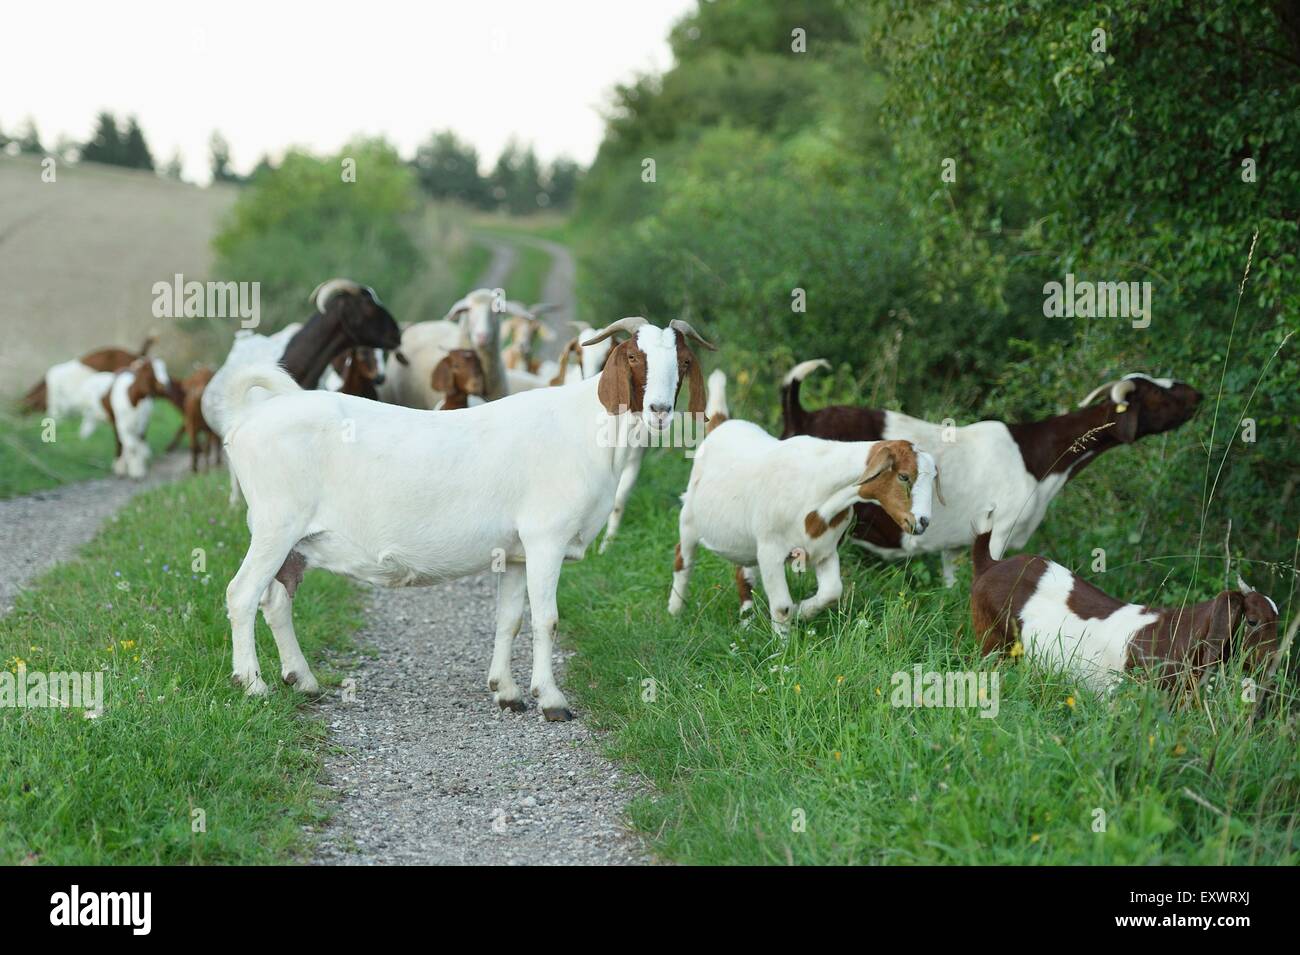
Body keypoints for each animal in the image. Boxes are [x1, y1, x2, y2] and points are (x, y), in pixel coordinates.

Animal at [219, 317, 717, 722]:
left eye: (682, 361)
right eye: (634, 356)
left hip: (294, 541)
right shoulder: (545, 540)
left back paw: (302, 680)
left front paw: (507, 692)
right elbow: (547, 620)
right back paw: (254, 686)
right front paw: (552, 700)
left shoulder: (515, 553)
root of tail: (250, 417)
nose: (659, 411)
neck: (587, 429)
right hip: (275, 525)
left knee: (276, 601)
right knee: (242, 595)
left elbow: (509, 619)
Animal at [774, 366, 1201, 587]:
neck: (1036, 455)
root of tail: (802, 414)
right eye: (1159, 395)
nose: (1197, 394)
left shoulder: (953, 543)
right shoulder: (1003, 526)